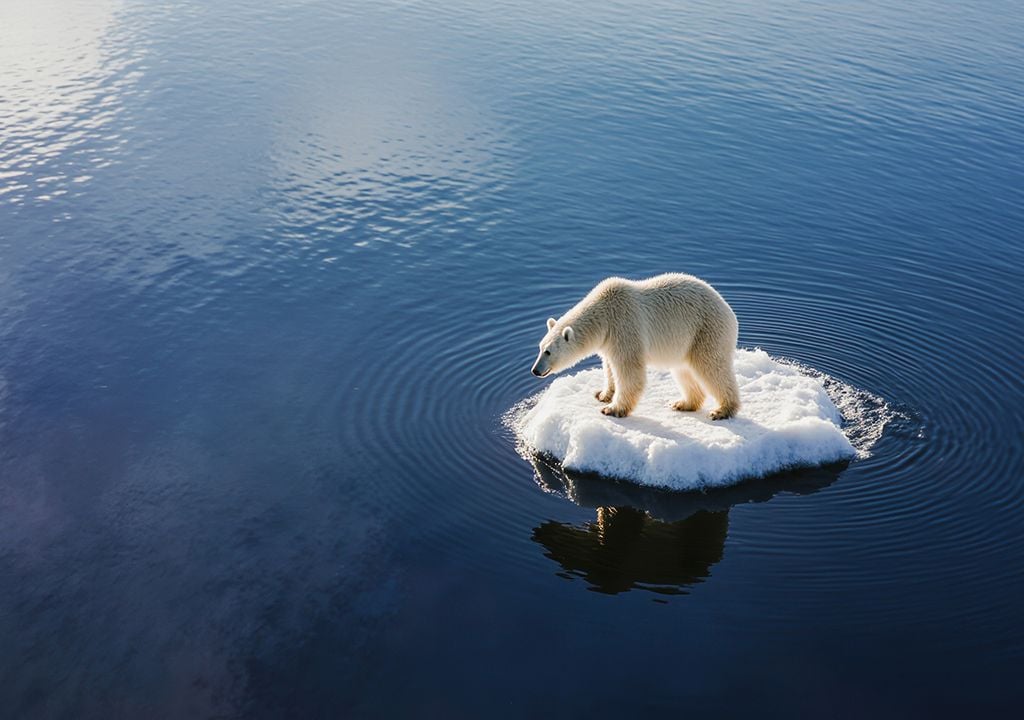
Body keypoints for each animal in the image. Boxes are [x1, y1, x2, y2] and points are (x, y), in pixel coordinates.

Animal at [530, 273, 741, 420]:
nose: (535, 370)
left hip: (706, 330)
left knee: (712, 367)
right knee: (684, 371)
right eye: (539, 348)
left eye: (548, 352)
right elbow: (609, 367)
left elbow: (629, 371)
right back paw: (683, 403)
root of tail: (730, 312)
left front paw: (613, 409)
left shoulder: (624, 326)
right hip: (686, 342)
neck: (604, 313)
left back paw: (722, 410)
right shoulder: (608, 339)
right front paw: (603, 394)